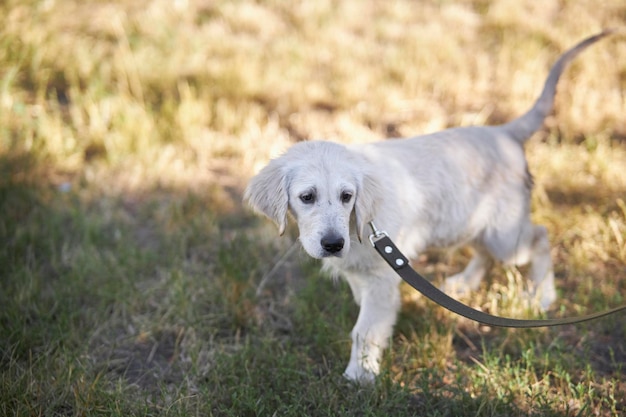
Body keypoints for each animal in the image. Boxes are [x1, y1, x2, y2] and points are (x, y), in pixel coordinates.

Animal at [243, 30, 608, 382]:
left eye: (347, 197)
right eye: (307, 197)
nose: (333, 244)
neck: (358, 225)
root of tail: (504, 133)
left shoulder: (381, 278)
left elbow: (365, 330)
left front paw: (360, 375)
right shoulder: (363, 273)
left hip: (505, 236)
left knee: (540, 236)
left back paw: (542, 294)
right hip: (475, 222)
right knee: (485, 251)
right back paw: (464, 283)